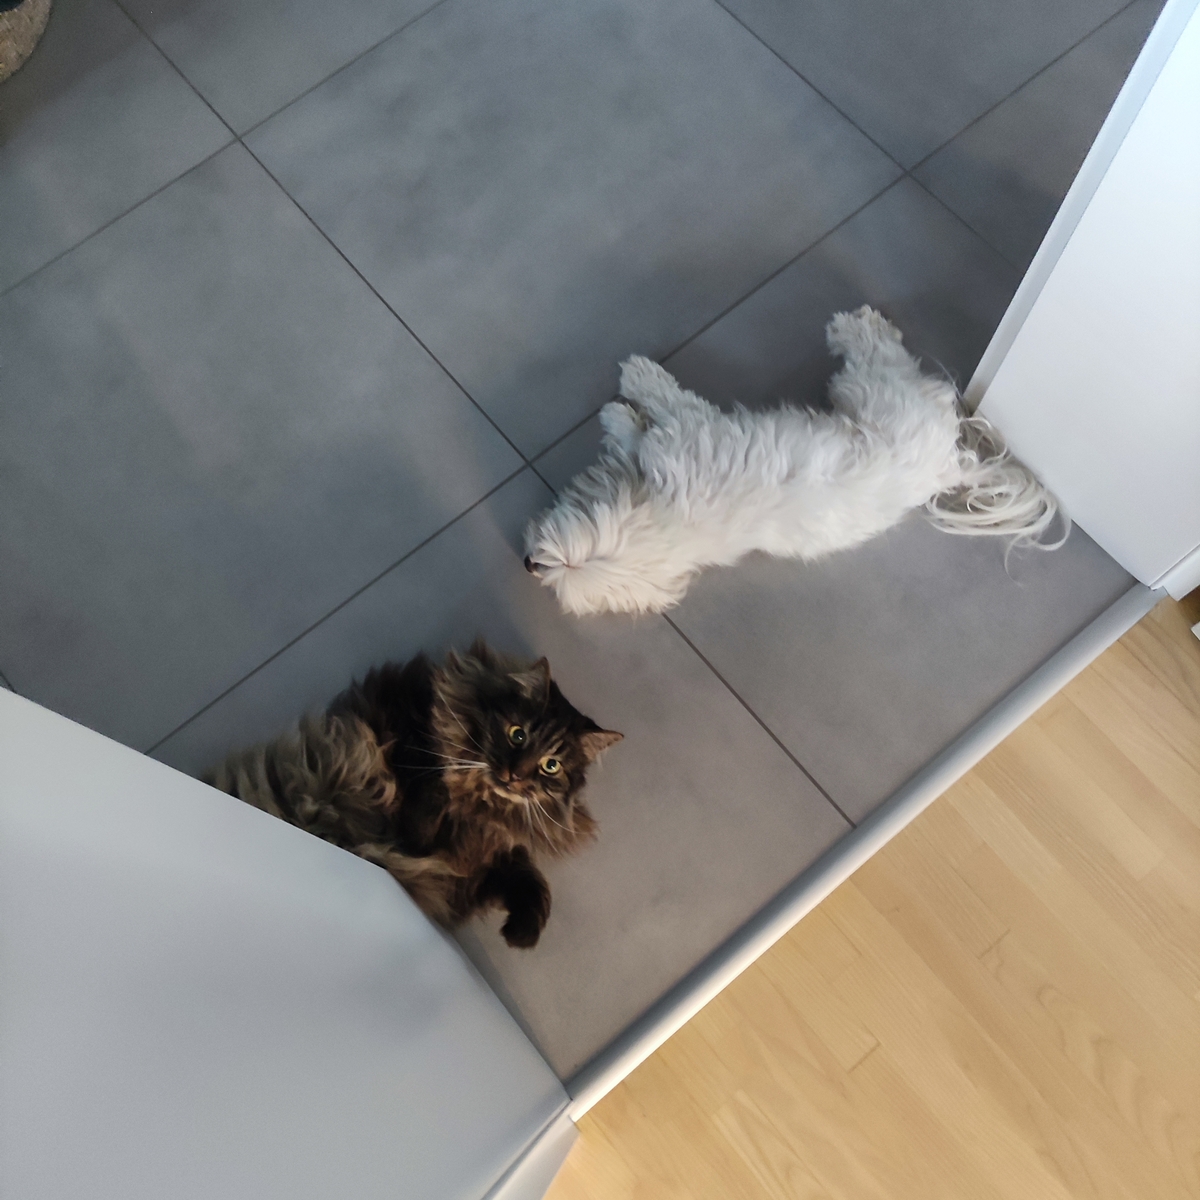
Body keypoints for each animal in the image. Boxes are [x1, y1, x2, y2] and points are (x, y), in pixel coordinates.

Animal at [205, 640, 622, 948]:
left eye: (551, 766)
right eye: (517, 735)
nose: (514, 776)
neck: (483, 807)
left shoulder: (480, 867)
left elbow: (528, 876)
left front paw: (522, 934)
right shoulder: (417, 786)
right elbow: (428, 808)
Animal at [524, 307, 1064, 615]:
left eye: (558, 561)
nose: (528, 564)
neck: (677, 518)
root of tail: (950, 461)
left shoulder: (688, 430)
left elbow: (664, 401)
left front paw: (628, 394)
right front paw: (622, 420)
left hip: (874, 390)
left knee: (879, 354)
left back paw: (852, 325)